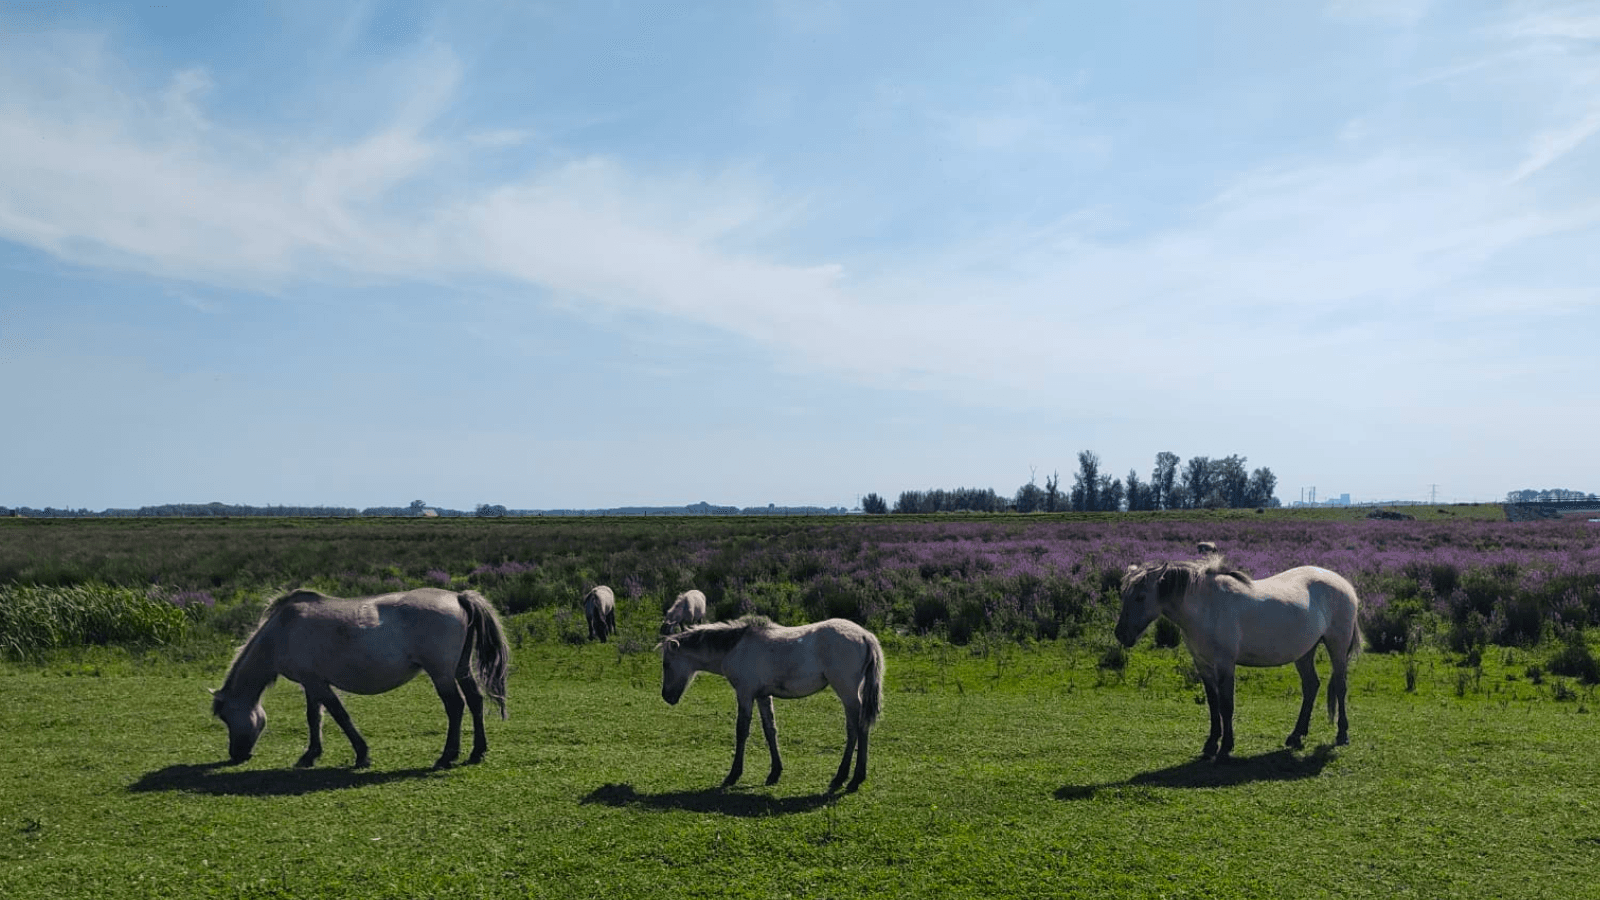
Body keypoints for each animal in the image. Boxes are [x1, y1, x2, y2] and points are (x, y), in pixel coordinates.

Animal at [209, 587, 510, 769]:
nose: (236, 755)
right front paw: (310, 754)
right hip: (460, 669)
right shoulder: (311, 684)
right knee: (475, 701)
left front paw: (362, 754)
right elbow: (314, 717)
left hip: (442, 674)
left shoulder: (317, 684)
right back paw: (477, 752)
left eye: (226, 717)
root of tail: (458, 597)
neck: (282, 631)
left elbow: (340, 716)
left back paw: (447, 756)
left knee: (456, 706)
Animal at [659, 616, 883, 793]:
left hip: (847, 693)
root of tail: (865, 636)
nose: (667, 697)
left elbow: (742, 731)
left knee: (857, 728)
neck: (736, 646)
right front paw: (774, 773)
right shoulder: (762, 696)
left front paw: (733, 775)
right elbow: (770, 730)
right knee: (858, 728)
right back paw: (849, 777)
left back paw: (850, 778)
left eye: (666, 664)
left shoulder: (745, 693)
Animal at [1115, 553, 1361, 761]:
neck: (1207, 606)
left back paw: (1342, 734)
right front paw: (1210, 744)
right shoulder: (1203, 665)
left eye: (1140, 597)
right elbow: (1213, 705)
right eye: (1124, 595)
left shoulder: (1225, 665)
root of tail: (1344, 584)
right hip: (1304, 653)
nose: (1121, 634)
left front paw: (1225, 747)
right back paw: (1296, 736)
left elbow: (1226, 705)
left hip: (1337, 647)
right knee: (1311, 686)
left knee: (1340, 686)